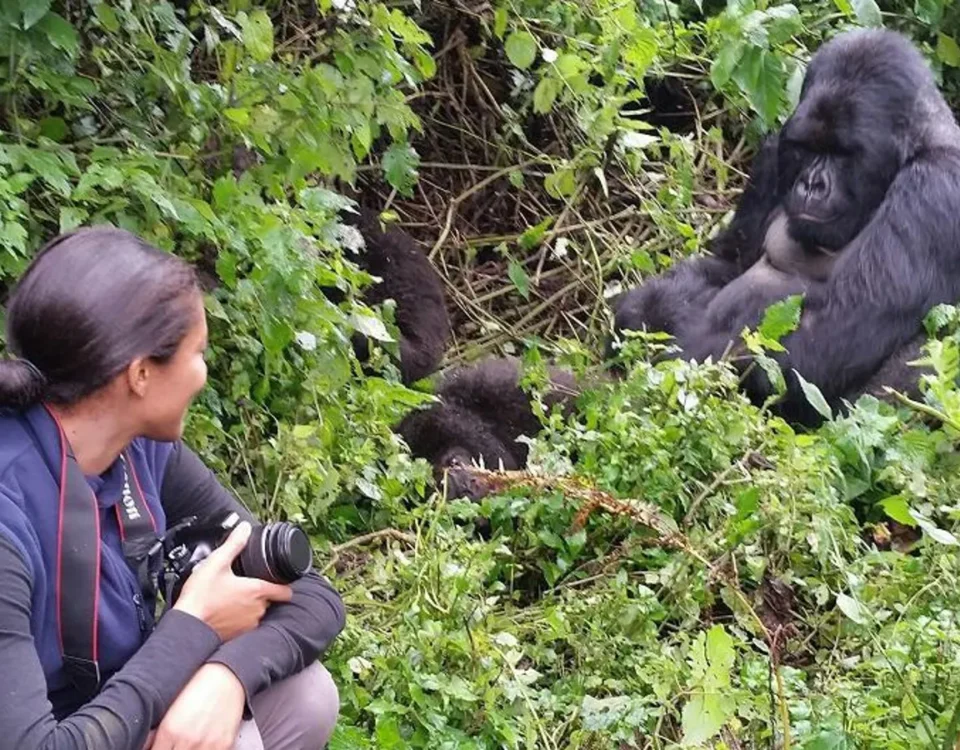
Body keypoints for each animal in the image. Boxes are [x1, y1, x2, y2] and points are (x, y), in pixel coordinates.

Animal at [612, 29, 956, 426]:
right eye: (807, 147)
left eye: (843, 154)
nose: (812, 184)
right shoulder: (772, 155)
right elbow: (729, 263)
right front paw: (644, 310)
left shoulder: (936, 188)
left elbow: (828, 333)